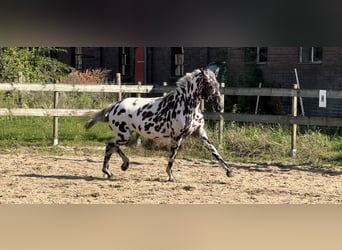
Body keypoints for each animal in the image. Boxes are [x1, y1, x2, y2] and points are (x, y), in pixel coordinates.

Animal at [84, 68, 234, 182]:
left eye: (217, 84)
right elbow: (172, 158)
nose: (219, 107)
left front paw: (229, 171)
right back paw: (114, 169)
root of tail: (115, 105)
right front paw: (171, 176)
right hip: (123, 136)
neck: (186, 105)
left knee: (112, 146)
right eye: (209, 85)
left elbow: (215, 152)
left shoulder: (200, 134)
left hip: (125, 135)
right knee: (110, 145)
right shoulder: (177, 138)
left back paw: (116, 169)